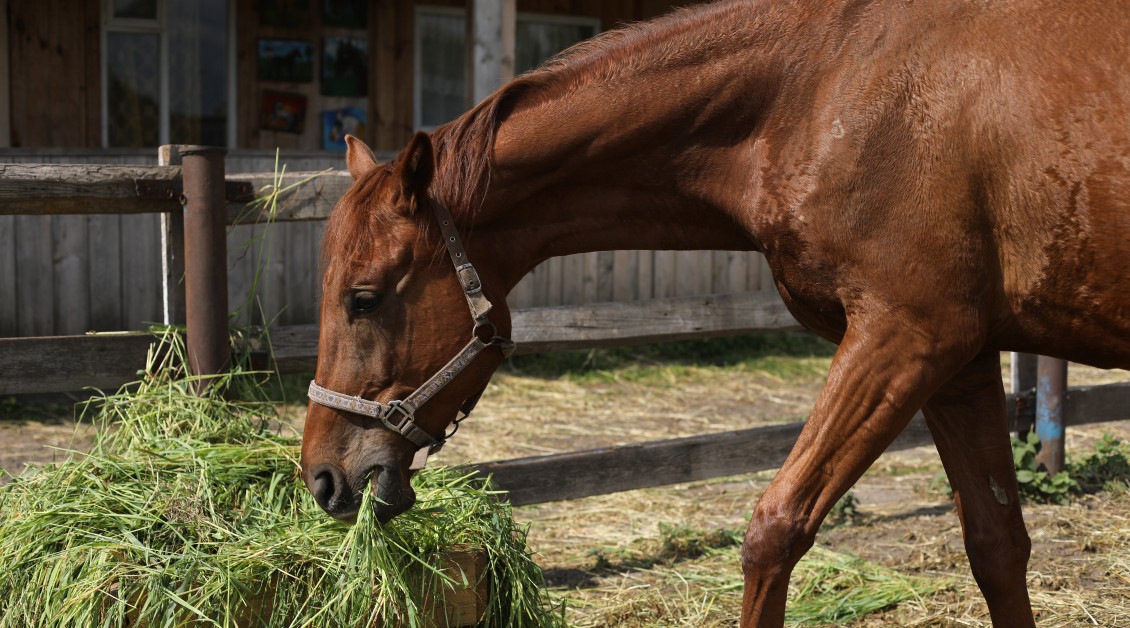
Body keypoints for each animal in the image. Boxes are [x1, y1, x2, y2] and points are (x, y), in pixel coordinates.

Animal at [300, 0, 1130, 623]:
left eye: (364, 298)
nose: (323, 480)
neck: (828, 83)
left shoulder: (906, 336)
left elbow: (774, 530)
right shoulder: (961, 361)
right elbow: (997, 544)